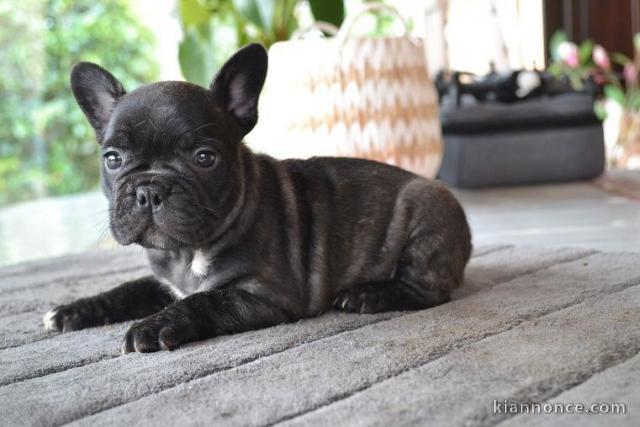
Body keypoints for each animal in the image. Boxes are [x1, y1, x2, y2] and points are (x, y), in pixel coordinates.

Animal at [42, 45, 472, 356]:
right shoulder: (164, 282)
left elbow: (204, 301)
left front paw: (154, 324)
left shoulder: (264, 295)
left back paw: (367, 294)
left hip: (425, 216)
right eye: (112, 159)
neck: (186, 251)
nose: (149, 190)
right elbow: (128, 288)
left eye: (205, 158)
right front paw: (74, 309)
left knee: (428, 291)